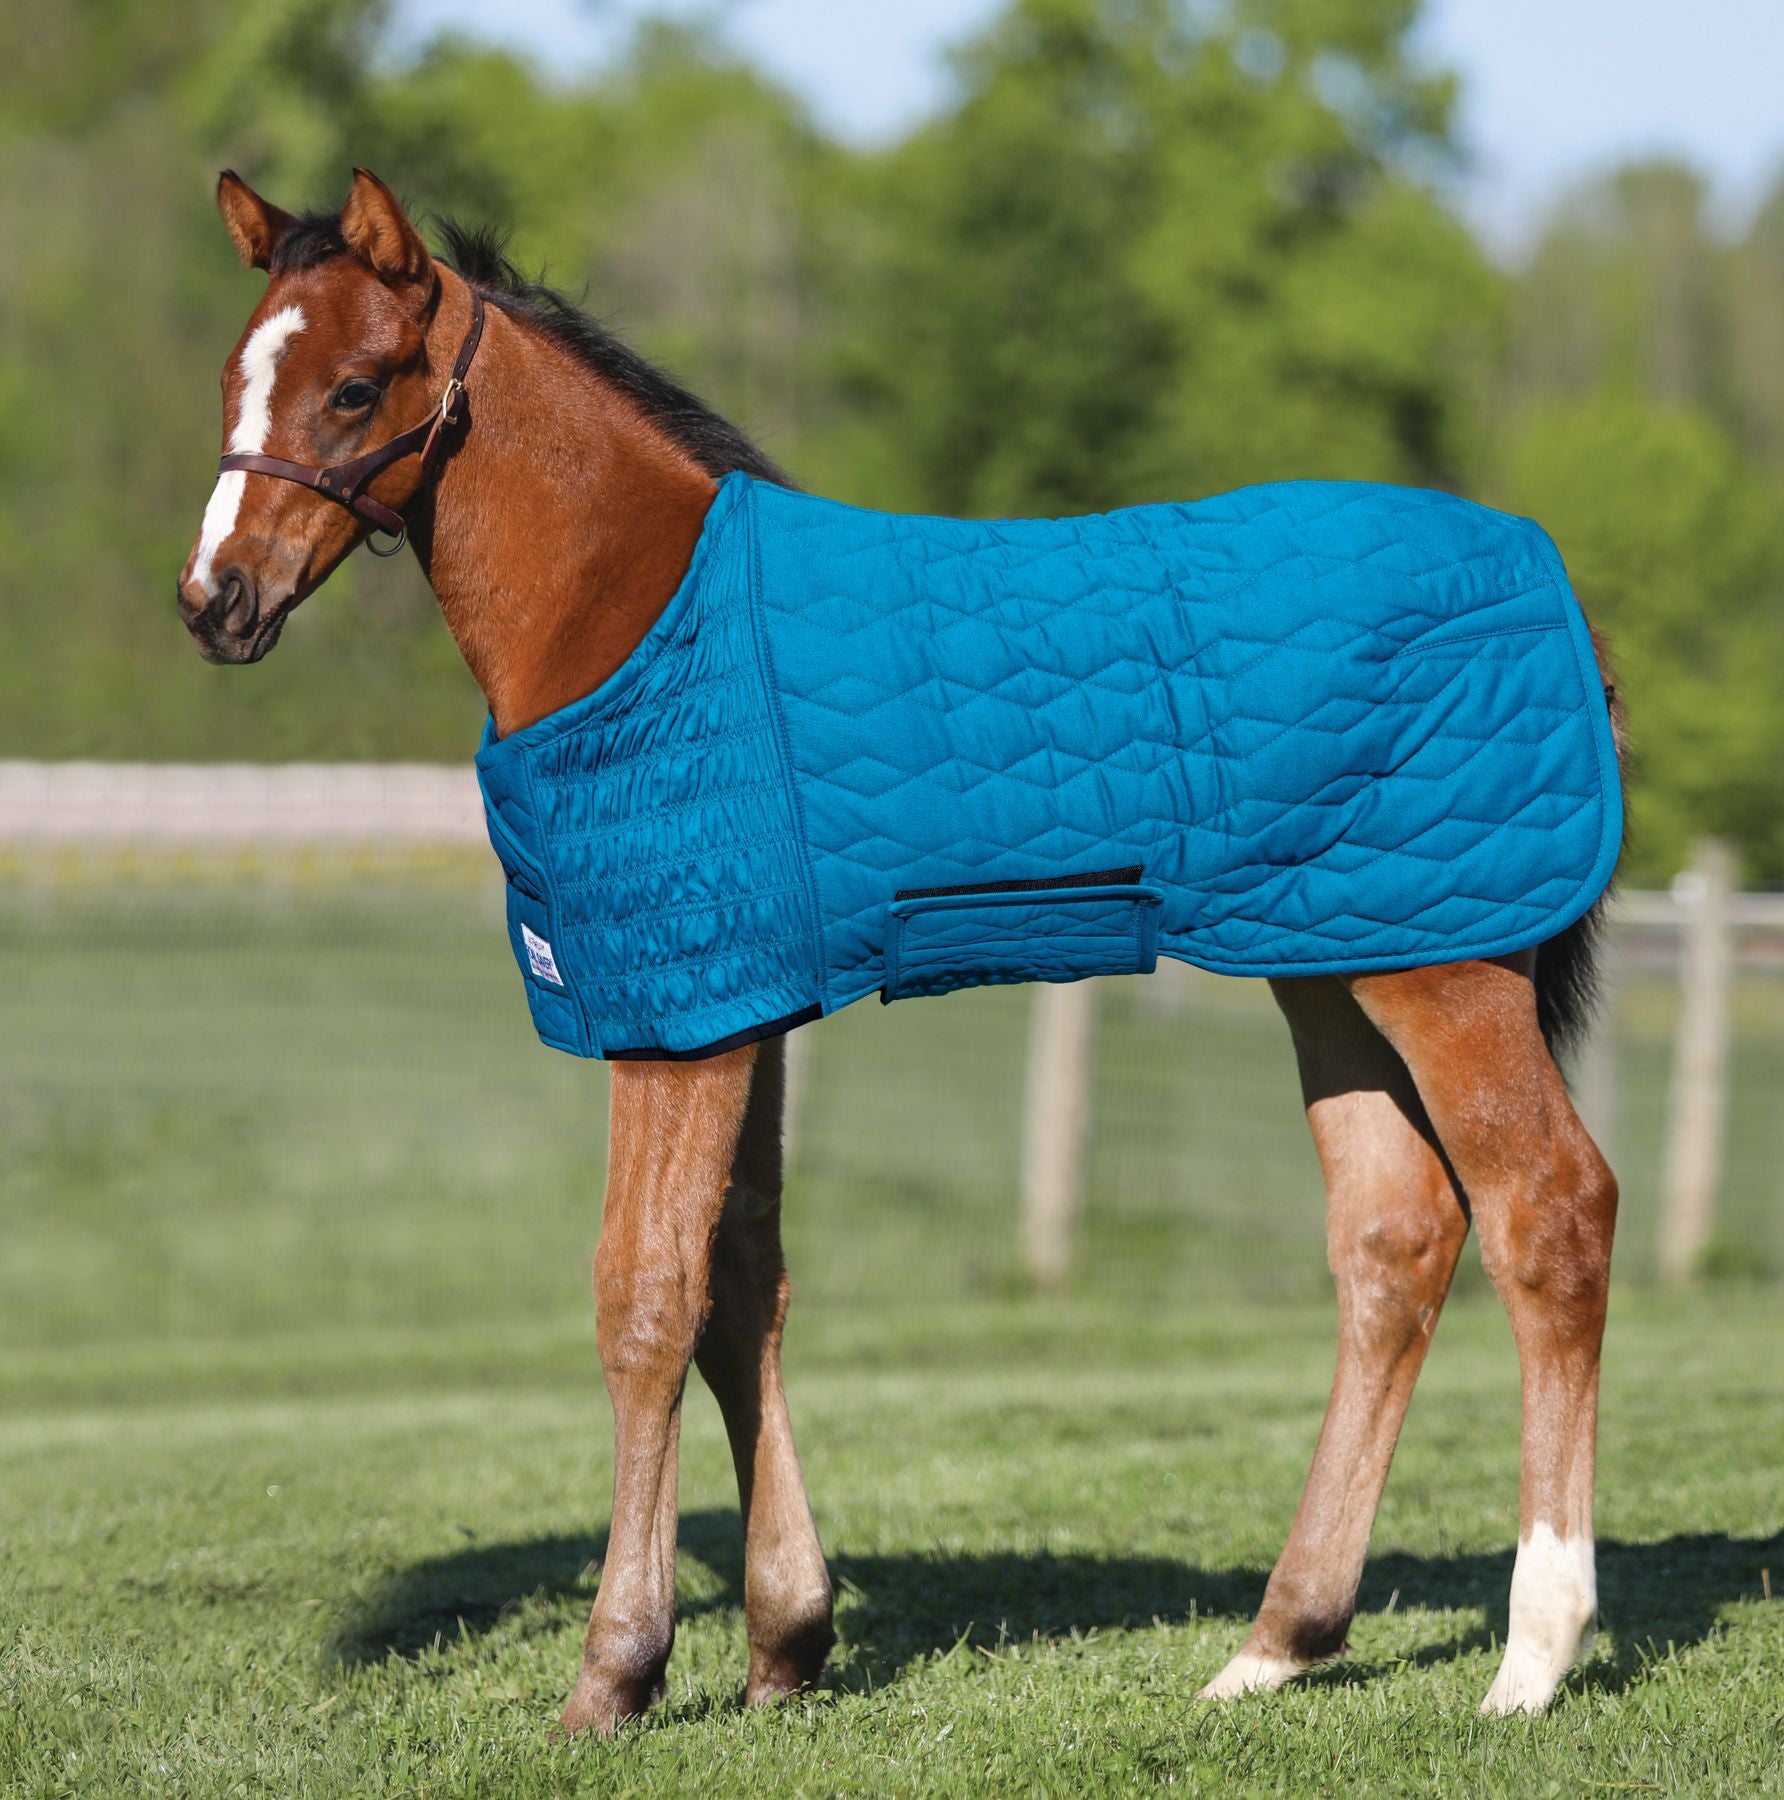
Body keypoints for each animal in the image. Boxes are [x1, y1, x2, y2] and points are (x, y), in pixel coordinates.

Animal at [176, 169, 1623, 1733]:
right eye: (235, 375)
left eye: (354, 386)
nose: (214, 599)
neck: (637, 617)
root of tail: (1546, 579)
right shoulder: (740, 1009)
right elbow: (742, 1286)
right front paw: (784, 1641)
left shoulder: (675, 1025)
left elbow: (645, 1297)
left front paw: (616, 1672)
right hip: (1336, 958)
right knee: (1393, 1240)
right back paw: (1277, 1641)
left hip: (1447, 968)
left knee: (1549, 1210)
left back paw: (1532, 1657)